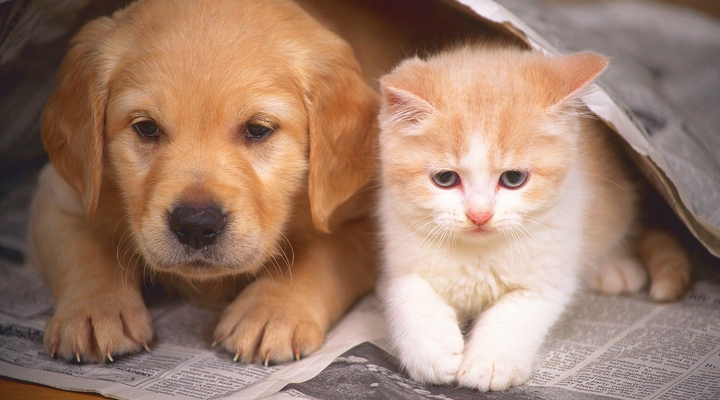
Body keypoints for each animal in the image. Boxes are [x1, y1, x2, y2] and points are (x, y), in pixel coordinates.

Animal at [31, 0, 382, 364]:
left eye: (258, 129)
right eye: (146, 128)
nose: (196, 226)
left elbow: (323, 253)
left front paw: (273, 312)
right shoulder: (59, 197)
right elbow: (84, 250)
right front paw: (93, 311)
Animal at [374, 46, 688, 390]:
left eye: (513, 178)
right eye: (445, 179)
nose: (479, 214)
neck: (478, 253)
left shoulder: (550, 272)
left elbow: (517, 312)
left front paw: (490, 361)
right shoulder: (396, 243)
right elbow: (405, 290)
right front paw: (429, 348)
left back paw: (614, 268)